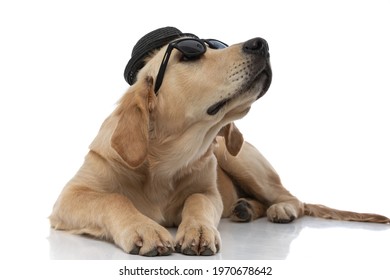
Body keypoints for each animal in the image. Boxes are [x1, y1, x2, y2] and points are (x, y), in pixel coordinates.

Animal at [50, 27, 388, 256]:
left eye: (216, 45)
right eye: (188, 55)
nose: (261, 44)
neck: (163, 162)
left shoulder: (208, 191)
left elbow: (197, 200)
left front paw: (198, 230)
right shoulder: (69, 197)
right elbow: (113, 199)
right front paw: (144, 228)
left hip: (236, 157)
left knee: (295, 199)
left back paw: (278, 209)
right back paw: (246, 208)